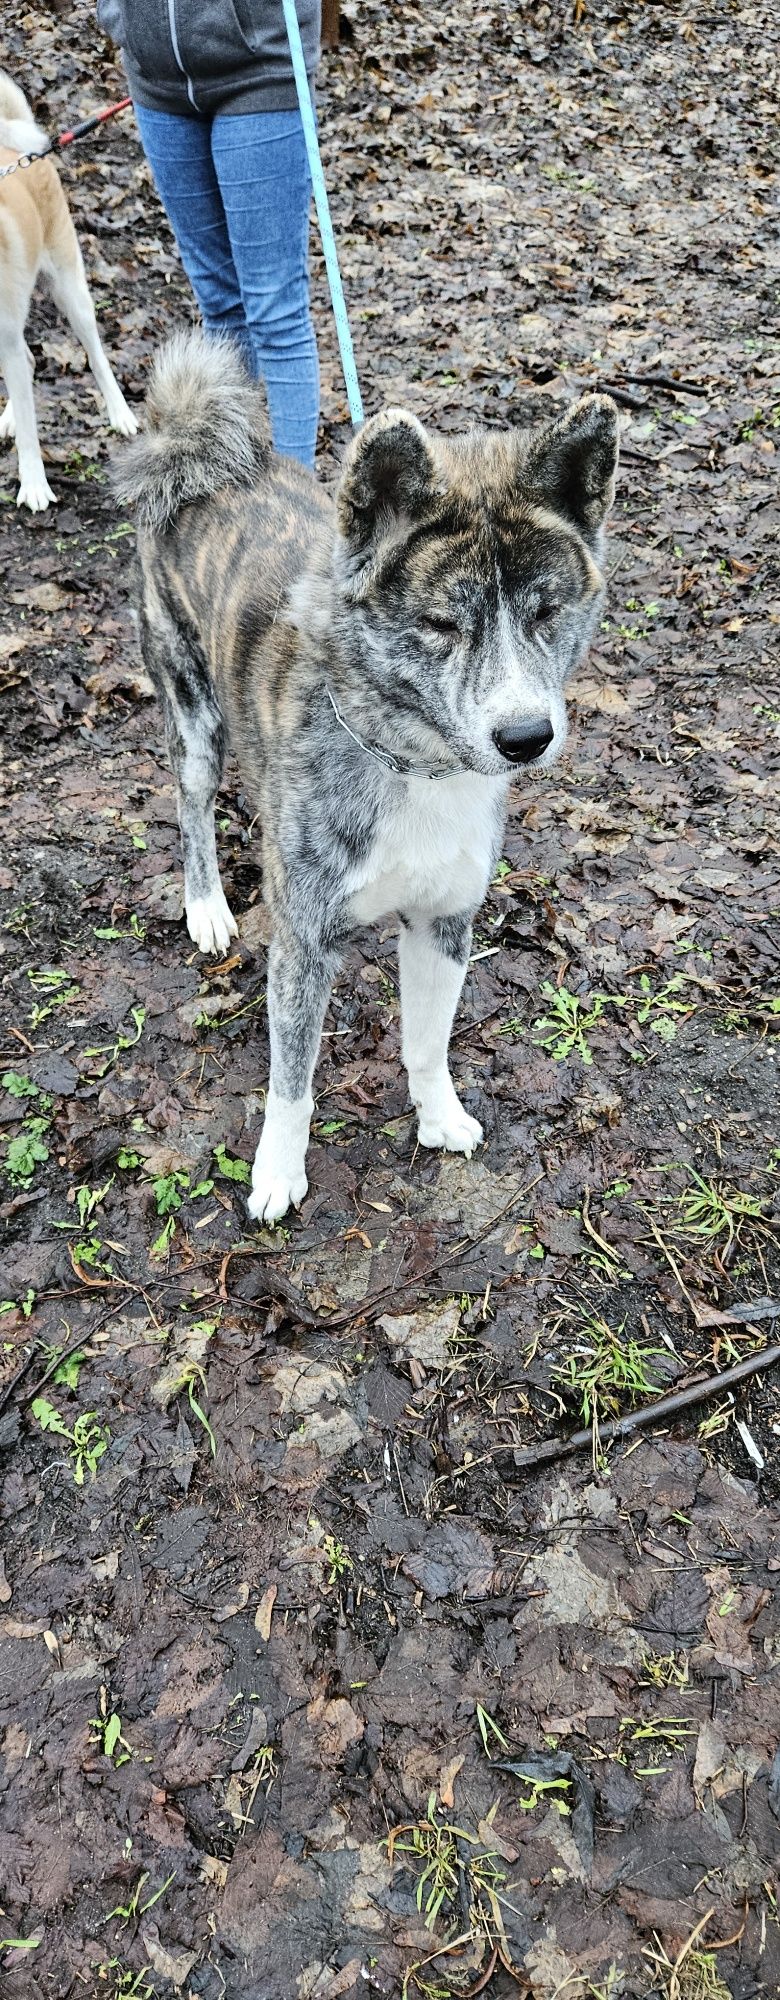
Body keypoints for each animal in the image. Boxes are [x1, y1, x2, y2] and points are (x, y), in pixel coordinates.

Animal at [0, 69, 137, 512]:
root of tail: (22, 152)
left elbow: (30, 432)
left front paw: (34, 486)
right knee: (27, 360)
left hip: (70, 293)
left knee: (97, 358)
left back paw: (120, 414)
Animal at [116, 332, 620, 1216]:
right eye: (441, 623)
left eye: (547, 612)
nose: (526, 737)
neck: (416, 765)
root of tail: (196, 449)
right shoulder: (305, 941)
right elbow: (291, 1080)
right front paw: (277, 1174)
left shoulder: (444, 923)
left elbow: (427, 1041)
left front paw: (439, 1116)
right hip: (192, 710)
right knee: (192, 806)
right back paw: (206, 904)